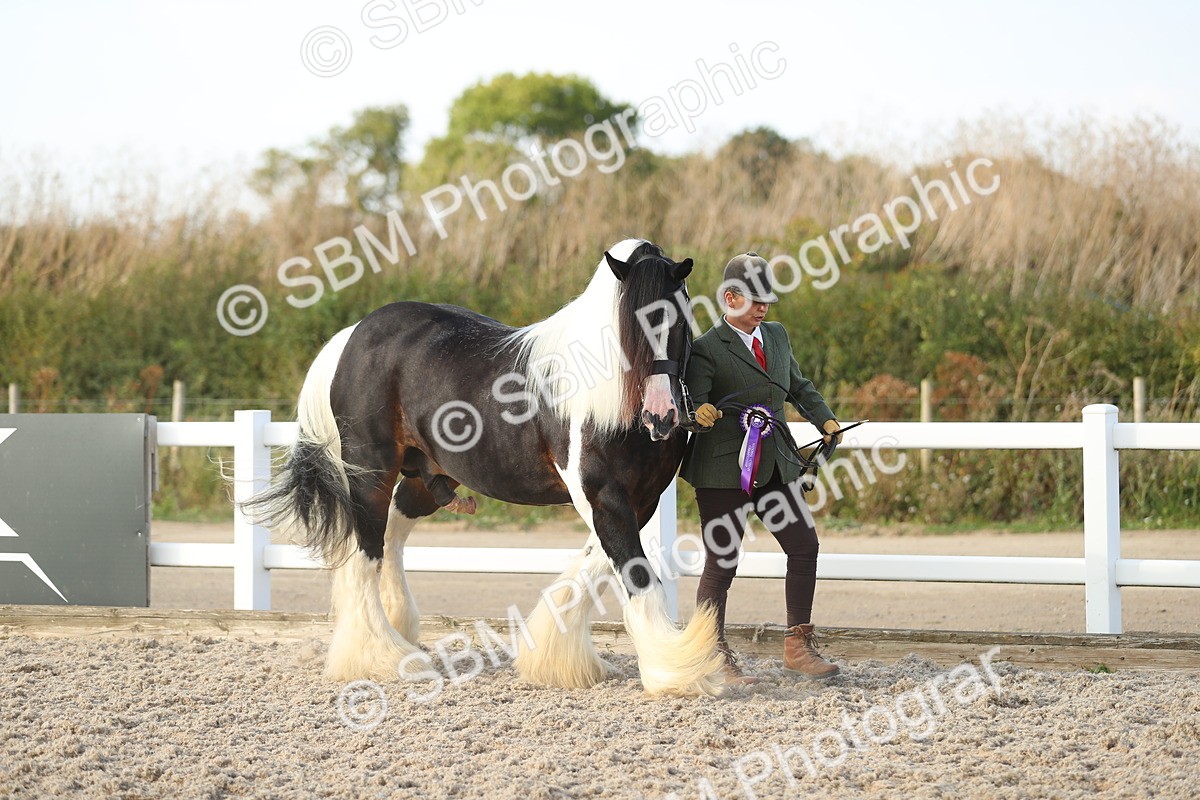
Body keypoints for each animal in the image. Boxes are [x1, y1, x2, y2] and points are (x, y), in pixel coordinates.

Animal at [246, 239, 726, 696]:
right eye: (631, 325)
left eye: (680, 321)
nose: (661, 416)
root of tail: (351, 336)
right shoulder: (602, 497)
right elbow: (638, 576)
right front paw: (676, 675)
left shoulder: (639, 501)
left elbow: (594, 568)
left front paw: (557, 661)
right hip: (370, 471)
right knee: (364, 553)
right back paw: (378, 658)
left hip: (426, 477)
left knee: (390, 536)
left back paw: (398, 630)